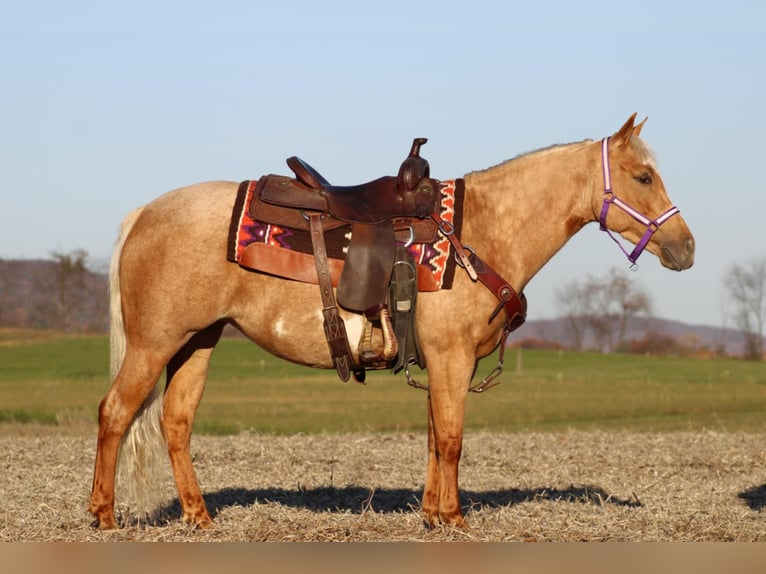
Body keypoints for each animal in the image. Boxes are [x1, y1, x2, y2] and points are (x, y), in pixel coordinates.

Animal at [88, 115, 696, 532]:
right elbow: (451, 438)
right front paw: (454, 518)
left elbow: (432, 437)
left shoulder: (444, 362)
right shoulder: (452, 357)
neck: (480, 231)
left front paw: (431, 514)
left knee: (176, 422)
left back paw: (199, 517)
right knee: (115, 413)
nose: (685, 247)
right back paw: (104, 515)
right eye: (644, 176)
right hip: (154, 344)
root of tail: (144, 213)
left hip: (197, 342)